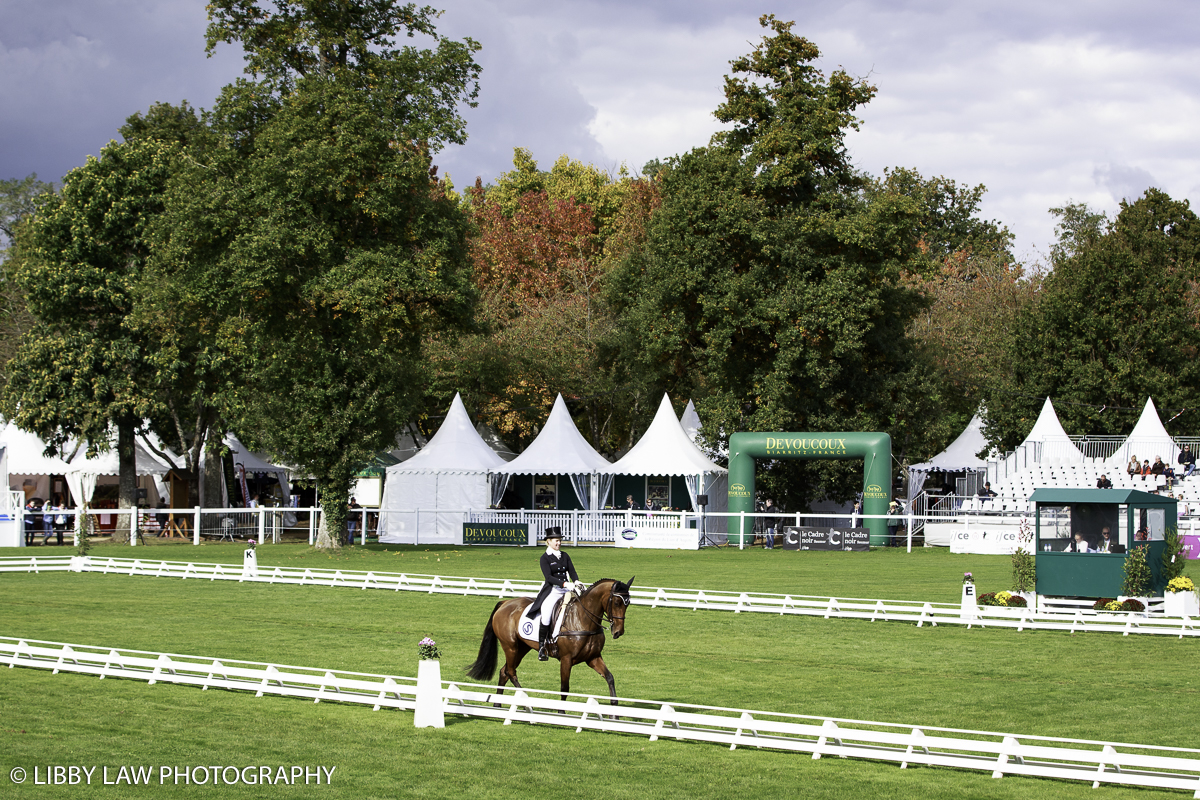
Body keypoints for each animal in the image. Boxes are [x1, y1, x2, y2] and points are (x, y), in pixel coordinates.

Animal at [463, 578, 633, 705]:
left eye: (628, 603)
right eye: (616, 603)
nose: (618, 632)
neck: (583, 619)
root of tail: (505, 603)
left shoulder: (593, 657)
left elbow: (610, 677)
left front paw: (614, 712)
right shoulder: (566, 659)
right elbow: (564, 688)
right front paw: (561, 712)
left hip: (521, 648)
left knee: (504, 672)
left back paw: (498, 704)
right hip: (510, 646)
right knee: (510, 672)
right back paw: (525, 703)